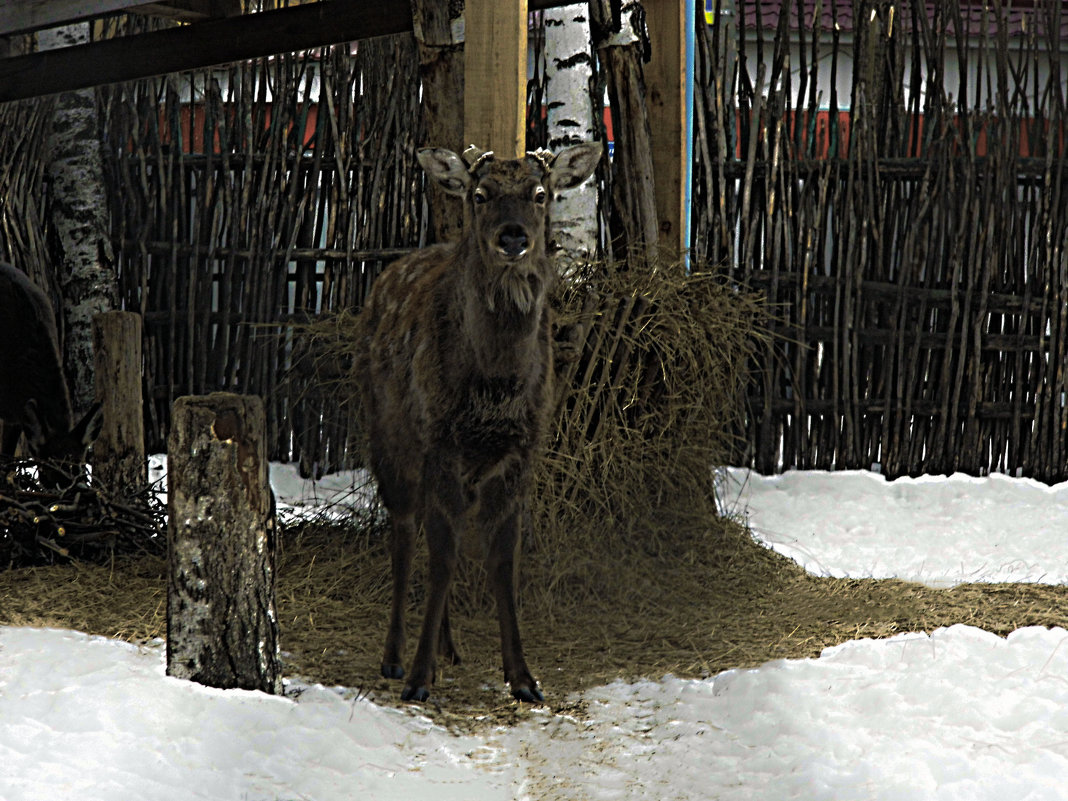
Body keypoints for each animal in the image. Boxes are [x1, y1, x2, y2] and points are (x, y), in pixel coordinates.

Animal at [360, 140, 602, 704]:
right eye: (480, 194)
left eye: (541, 193)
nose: (512, 236)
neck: (494, 388)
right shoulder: (439, 443)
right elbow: (443, 557)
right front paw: (420, 677)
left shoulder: (521, 452)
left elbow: (500, 562)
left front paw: (524, 678)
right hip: (390, 440)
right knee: (404, 535)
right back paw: (396, 656)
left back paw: (449, 648)